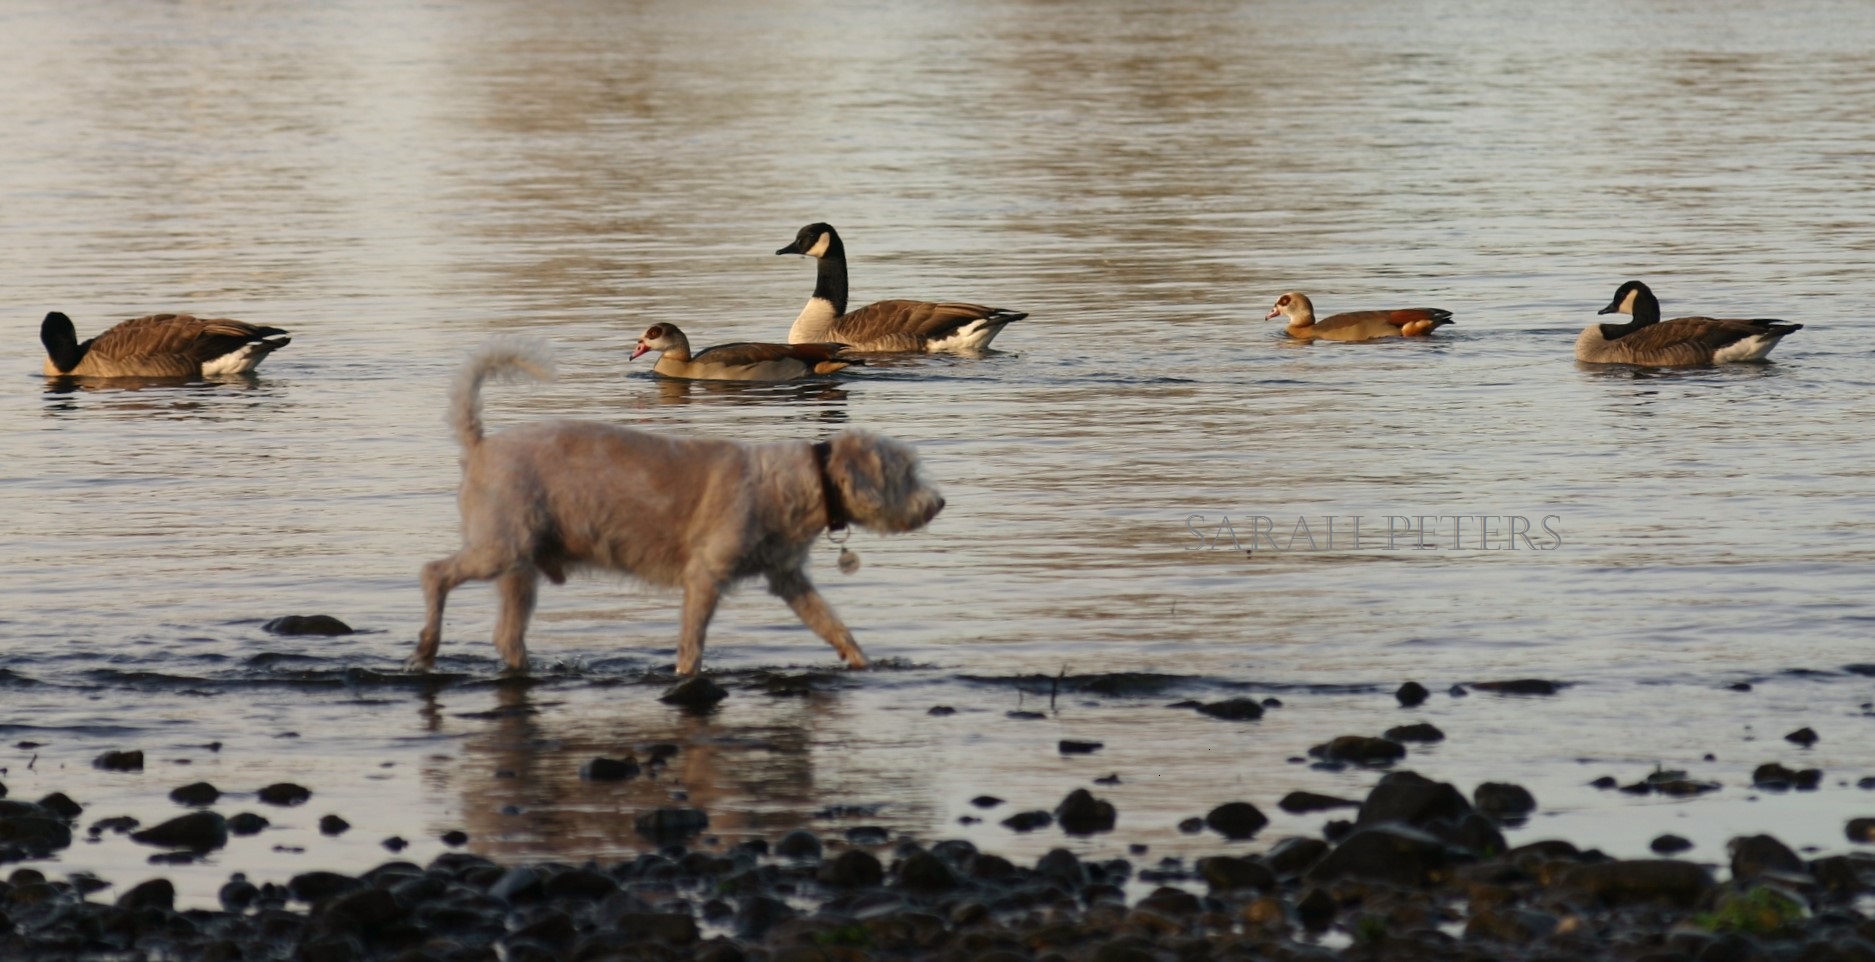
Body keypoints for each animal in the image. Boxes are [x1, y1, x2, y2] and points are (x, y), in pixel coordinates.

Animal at [406, 337, 937, 675]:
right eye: (906, 472)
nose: (939, 503)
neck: (790, 482)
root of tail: (479, 445)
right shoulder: (704, 577)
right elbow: (692, 646)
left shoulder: (789, 580)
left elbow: (835, 628)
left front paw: (864, 664)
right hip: (498, 548)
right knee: (434, 574)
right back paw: (427, 648)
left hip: (518, 566)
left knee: (507, 637)